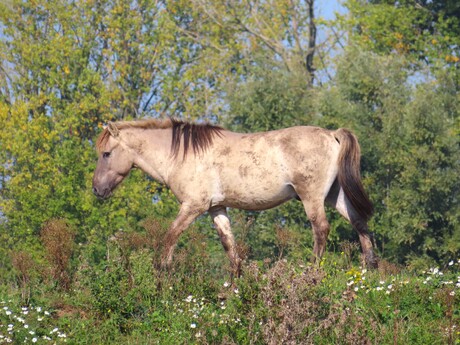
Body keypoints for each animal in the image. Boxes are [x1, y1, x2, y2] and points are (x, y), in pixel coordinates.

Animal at [92, 117, 378, 276]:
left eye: (106, 153)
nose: (97, 189)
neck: (183, 155)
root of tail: (332, 134)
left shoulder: (192, 207)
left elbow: (168, 240)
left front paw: (161, 277)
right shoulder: (216, 208)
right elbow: (230, 248)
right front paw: (234, 290)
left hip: (312, 198)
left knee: (321, 230)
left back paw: (312, 272)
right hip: (335, 196)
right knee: (360, 223)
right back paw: (371, 270)